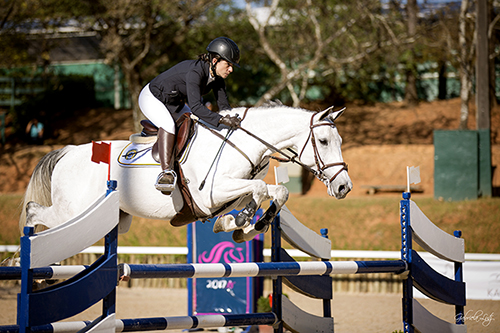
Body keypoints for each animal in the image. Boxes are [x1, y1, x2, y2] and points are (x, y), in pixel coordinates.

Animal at [18, 104, 352, 241]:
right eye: (323, 141)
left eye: (339, 141)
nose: (344, 188)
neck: (244, 141)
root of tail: (68, 152)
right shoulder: (211, 192)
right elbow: (258, 189)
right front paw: (242, 223)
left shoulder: (231, 191)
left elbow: (275, 191)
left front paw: (243, 224)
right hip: (73, 211)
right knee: (35, 212)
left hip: (116, 220)